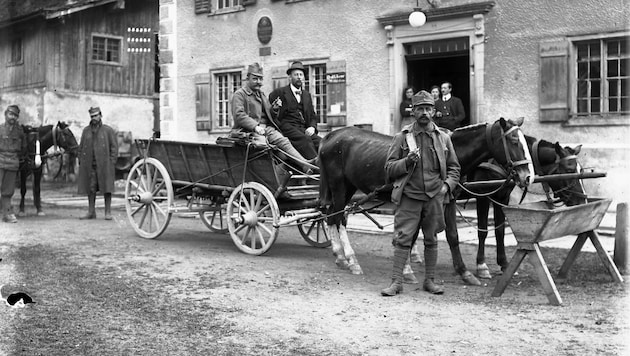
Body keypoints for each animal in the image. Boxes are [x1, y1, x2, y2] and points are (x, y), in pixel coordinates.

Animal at [320, 118, 532, 282]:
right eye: (514, 141)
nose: (528, 176)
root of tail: (331, 136)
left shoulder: (449, 199)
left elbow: (451, 234)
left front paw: (463, 271)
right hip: (339, 186)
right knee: (339, 218)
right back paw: (351, 260)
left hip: (348, 187)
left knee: (331, 215)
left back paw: (339, 255)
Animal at [470, 136, 588, 278]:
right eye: (570, 170)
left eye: (581, 170)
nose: (582, 201)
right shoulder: (482, 196)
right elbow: (482, 231)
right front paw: (481, 265)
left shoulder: (502, 197)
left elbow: (500, 231)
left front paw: (504, 264)